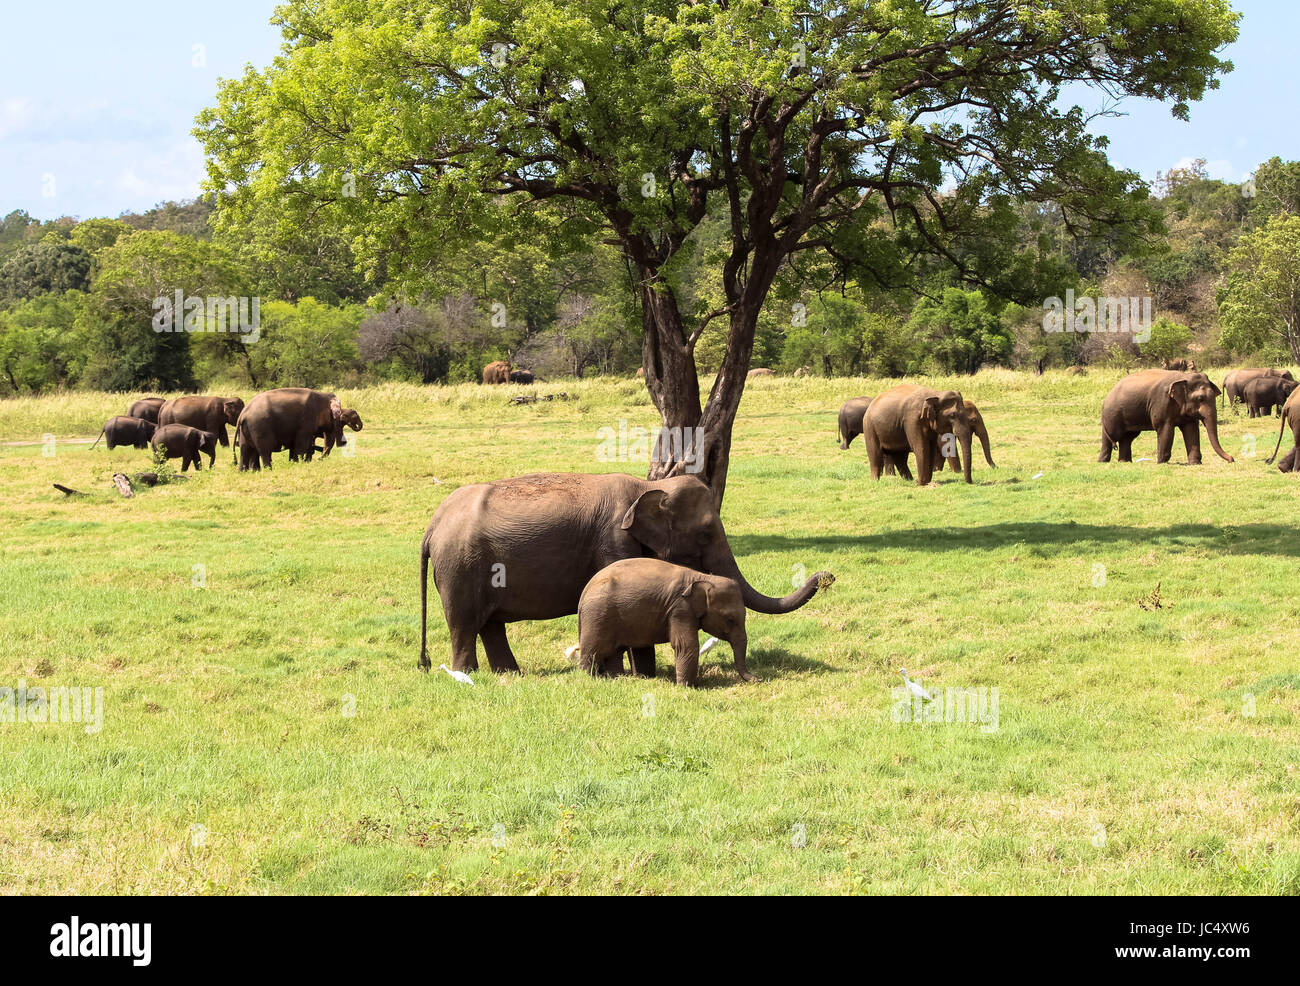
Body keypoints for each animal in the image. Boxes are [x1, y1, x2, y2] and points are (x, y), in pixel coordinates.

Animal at [235, 387, 364, 473]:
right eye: (338, 421)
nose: (318, 460)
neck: (322, 395)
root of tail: (243, 414)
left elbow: (295, 446)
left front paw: (294, 462)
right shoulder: (306, 420)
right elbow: (302, 444)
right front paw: (300, 463)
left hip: (245, 430)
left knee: (245, 450)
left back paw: (246, 472)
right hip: (260, 427)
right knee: (264, 450)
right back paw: (268, 470)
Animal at [421, 476, 837, 676]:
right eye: (705, 533)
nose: (826, 575)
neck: (648, 485)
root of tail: (432, 526)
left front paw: (642, 675)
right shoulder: (613, 539)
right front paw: (630, 675)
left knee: (490, 625)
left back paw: (511, 674)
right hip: (460, 569)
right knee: (465, 624)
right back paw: (469, 674)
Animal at [577, 559, 759, 692]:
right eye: (730, 619)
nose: (759, 679)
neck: (701, 578)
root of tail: (584, 592)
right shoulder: (680, 608)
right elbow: (686, 645)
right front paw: (687, 688)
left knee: (615, 651)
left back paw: (618, 678)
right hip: (598, 616)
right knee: (592, 650)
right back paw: (588, 679)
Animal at [1097, 372, 1227, 465]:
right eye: (1200, 399)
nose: (1231, 459)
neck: (1183, 376)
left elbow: (1191, 430)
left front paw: (1195, 463)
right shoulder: (1161, 402)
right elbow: (1165, 429)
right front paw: (1161, 463)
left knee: (1128, 437)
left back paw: (1125, 462)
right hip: (1112, 414)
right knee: (1112, 435)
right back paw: (1102, 462)